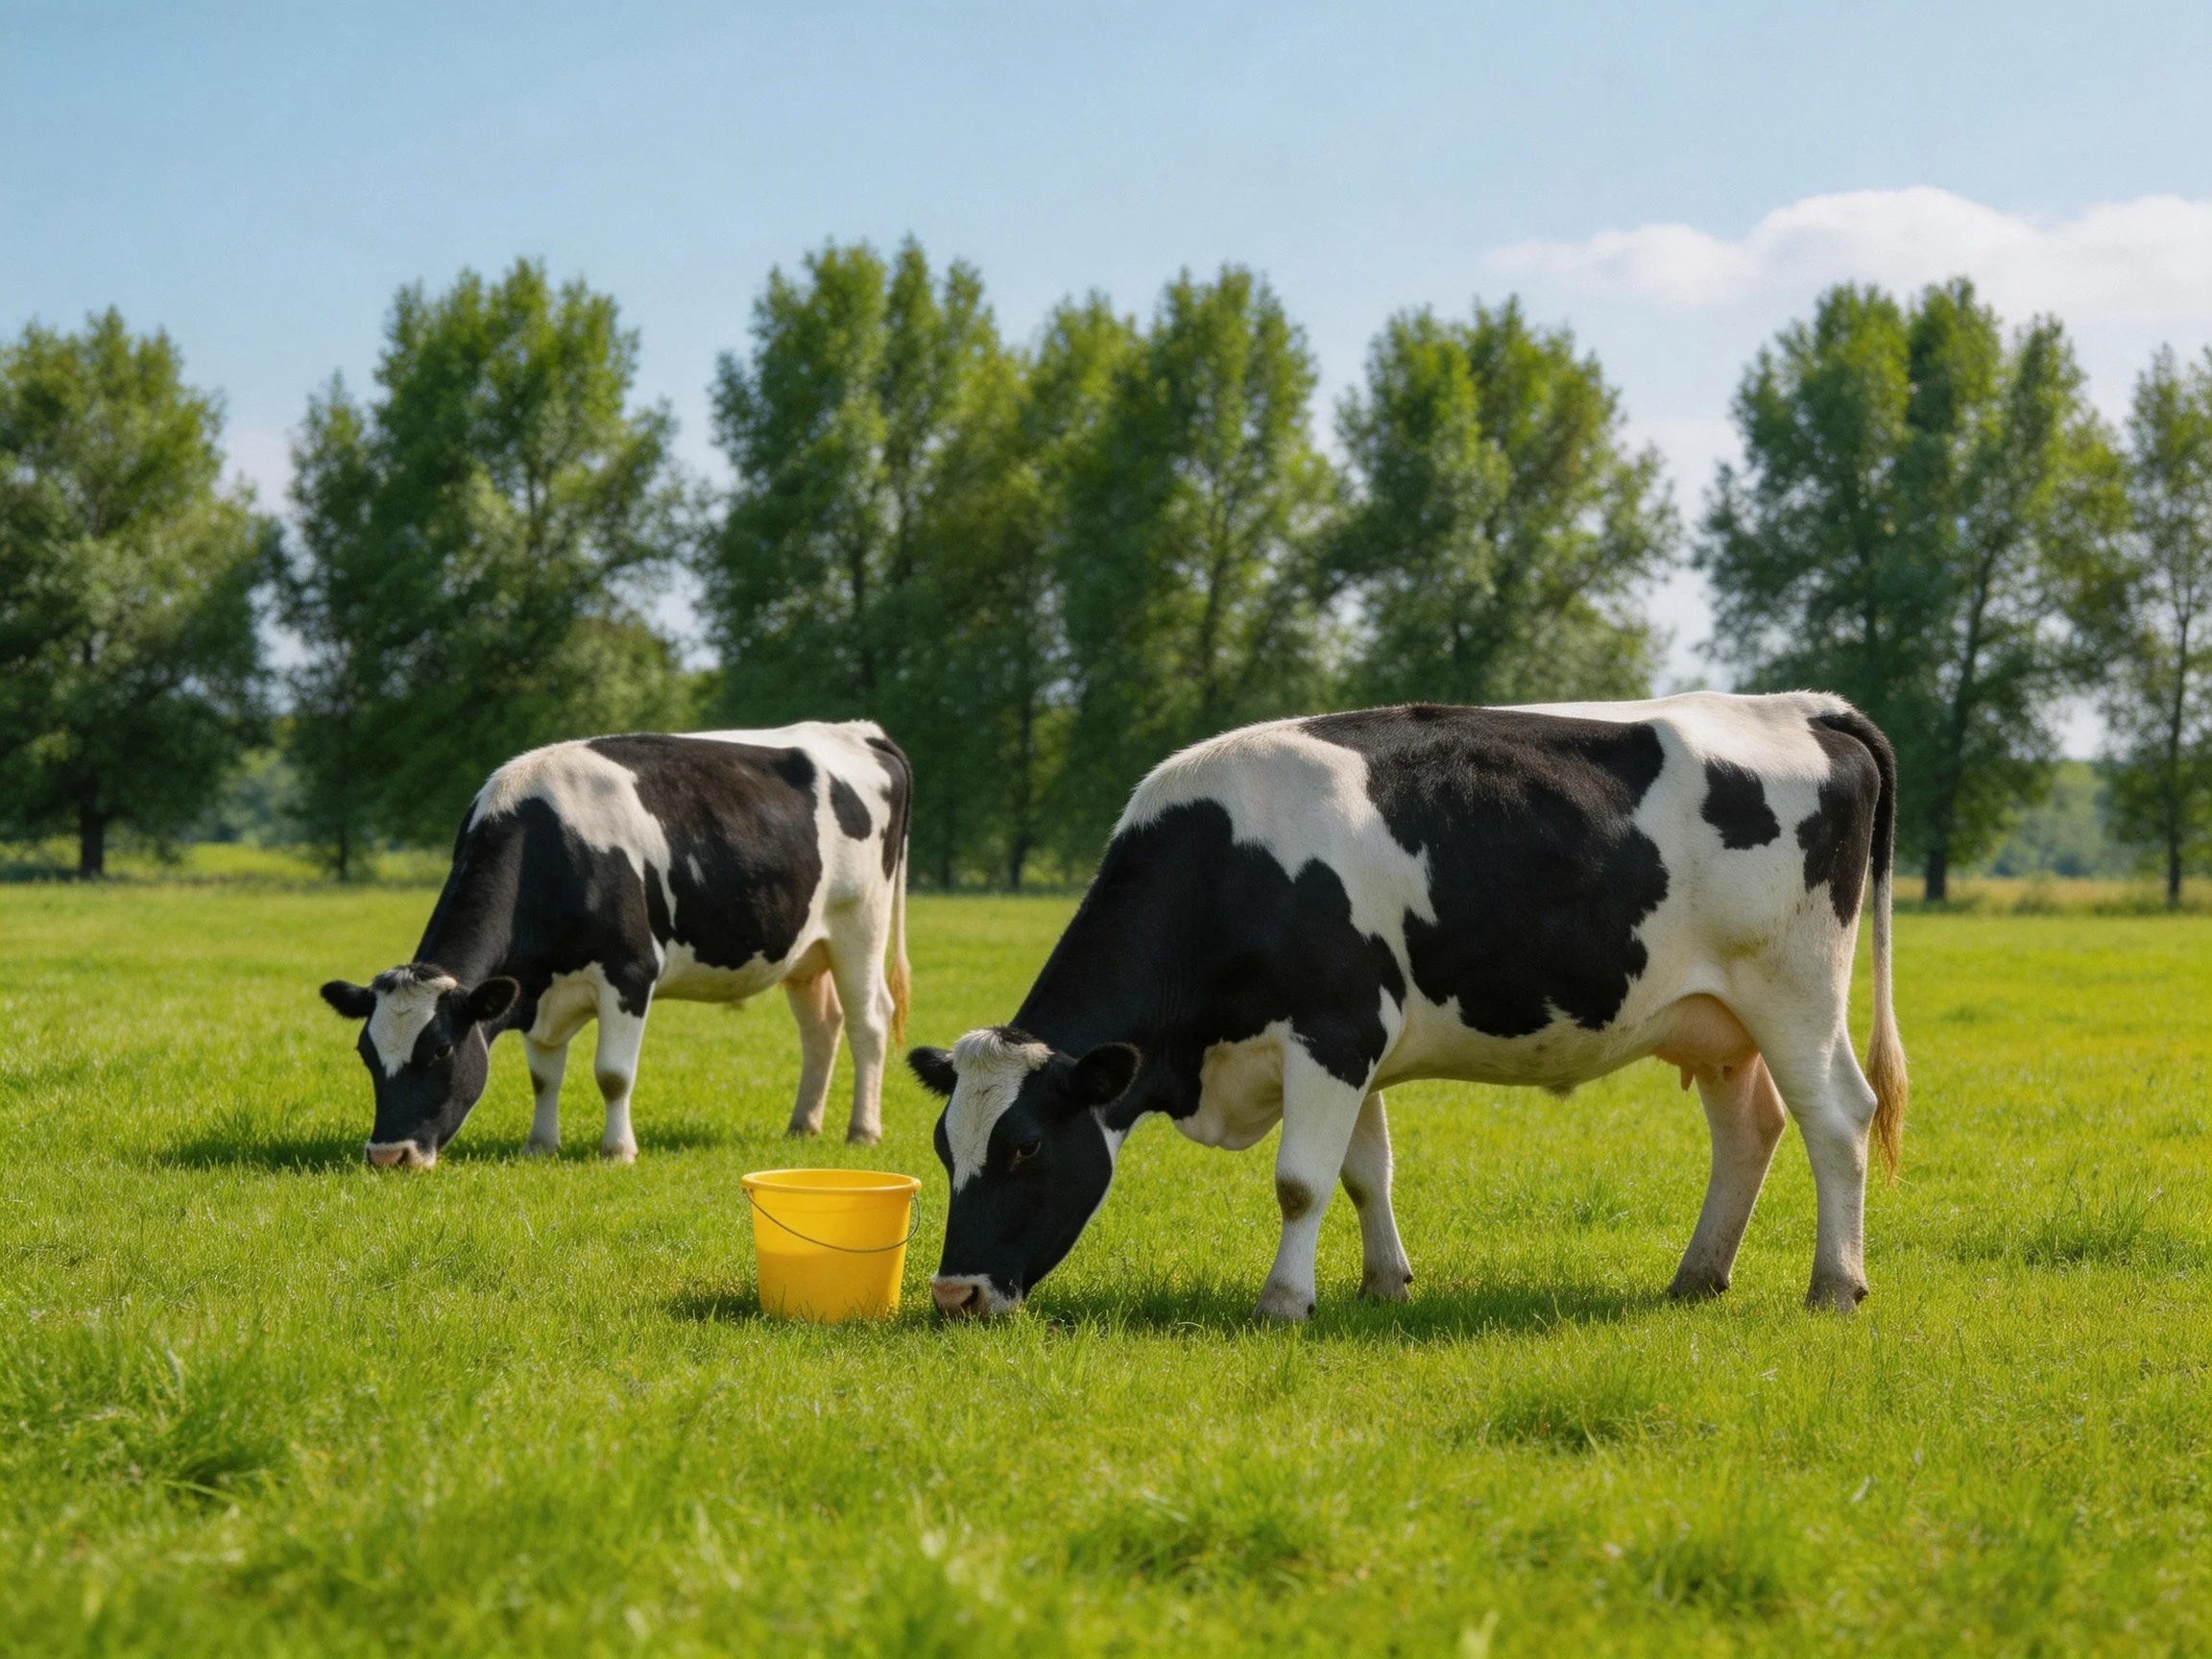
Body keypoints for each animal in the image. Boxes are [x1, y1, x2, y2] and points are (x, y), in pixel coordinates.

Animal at [319, 722, 911, 1168]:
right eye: (366, 1053)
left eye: (442, 1049)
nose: (388, 1155)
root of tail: (860, 731)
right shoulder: (535, 988)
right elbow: (543, 1076)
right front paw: (540, 1146)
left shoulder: (629, 971)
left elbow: (612, 1074)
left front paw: (618, 1151)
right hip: (805, 950)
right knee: (821, 1027)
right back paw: (802, 1126)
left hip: (860, 925)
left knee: (868, 1022)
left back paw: (863, 1130)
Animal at [907, 692, 1907, 1321]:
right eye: (943, 1148)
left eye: (1025, 1146)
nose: (955, 1295)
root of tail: (1804, 707)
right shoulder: (1350, 1044)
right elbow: (1362, 1173)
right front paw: (1384, 1283)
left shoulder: (1334, 1033)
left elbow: (1300, 1181)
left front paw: (1283, 1302)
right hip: (1718, 1020)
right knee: (1752, 1128)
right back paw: (1697, 1277)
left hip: (1795, 991)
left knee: (1838, 1118)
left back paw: (1834, 1285)